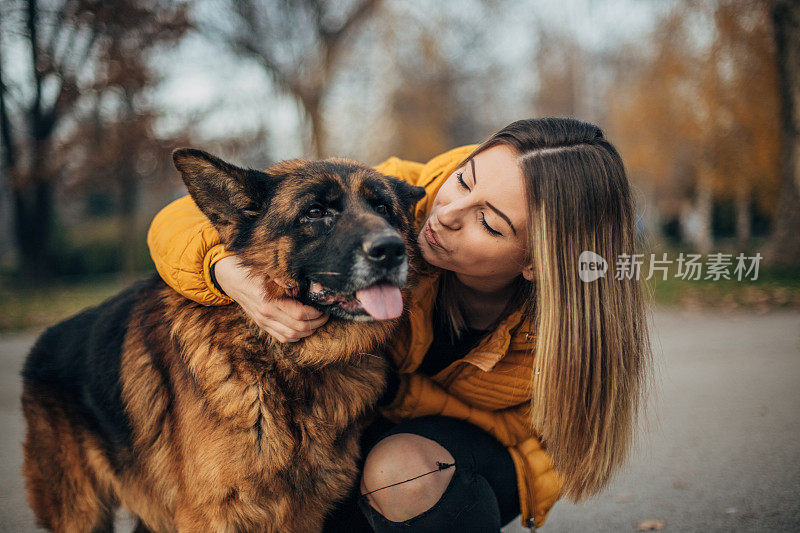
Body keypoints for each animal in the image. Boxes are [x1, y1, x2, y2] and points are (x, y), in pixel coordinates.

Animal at [21, 150, 428, 532]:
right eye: (315, 212)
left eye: (382, 208)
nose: (391, 250)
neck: (282, 361)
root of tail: (42, 342)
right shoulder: (211, 516)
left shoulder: (302, 515)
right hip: (81, 514)